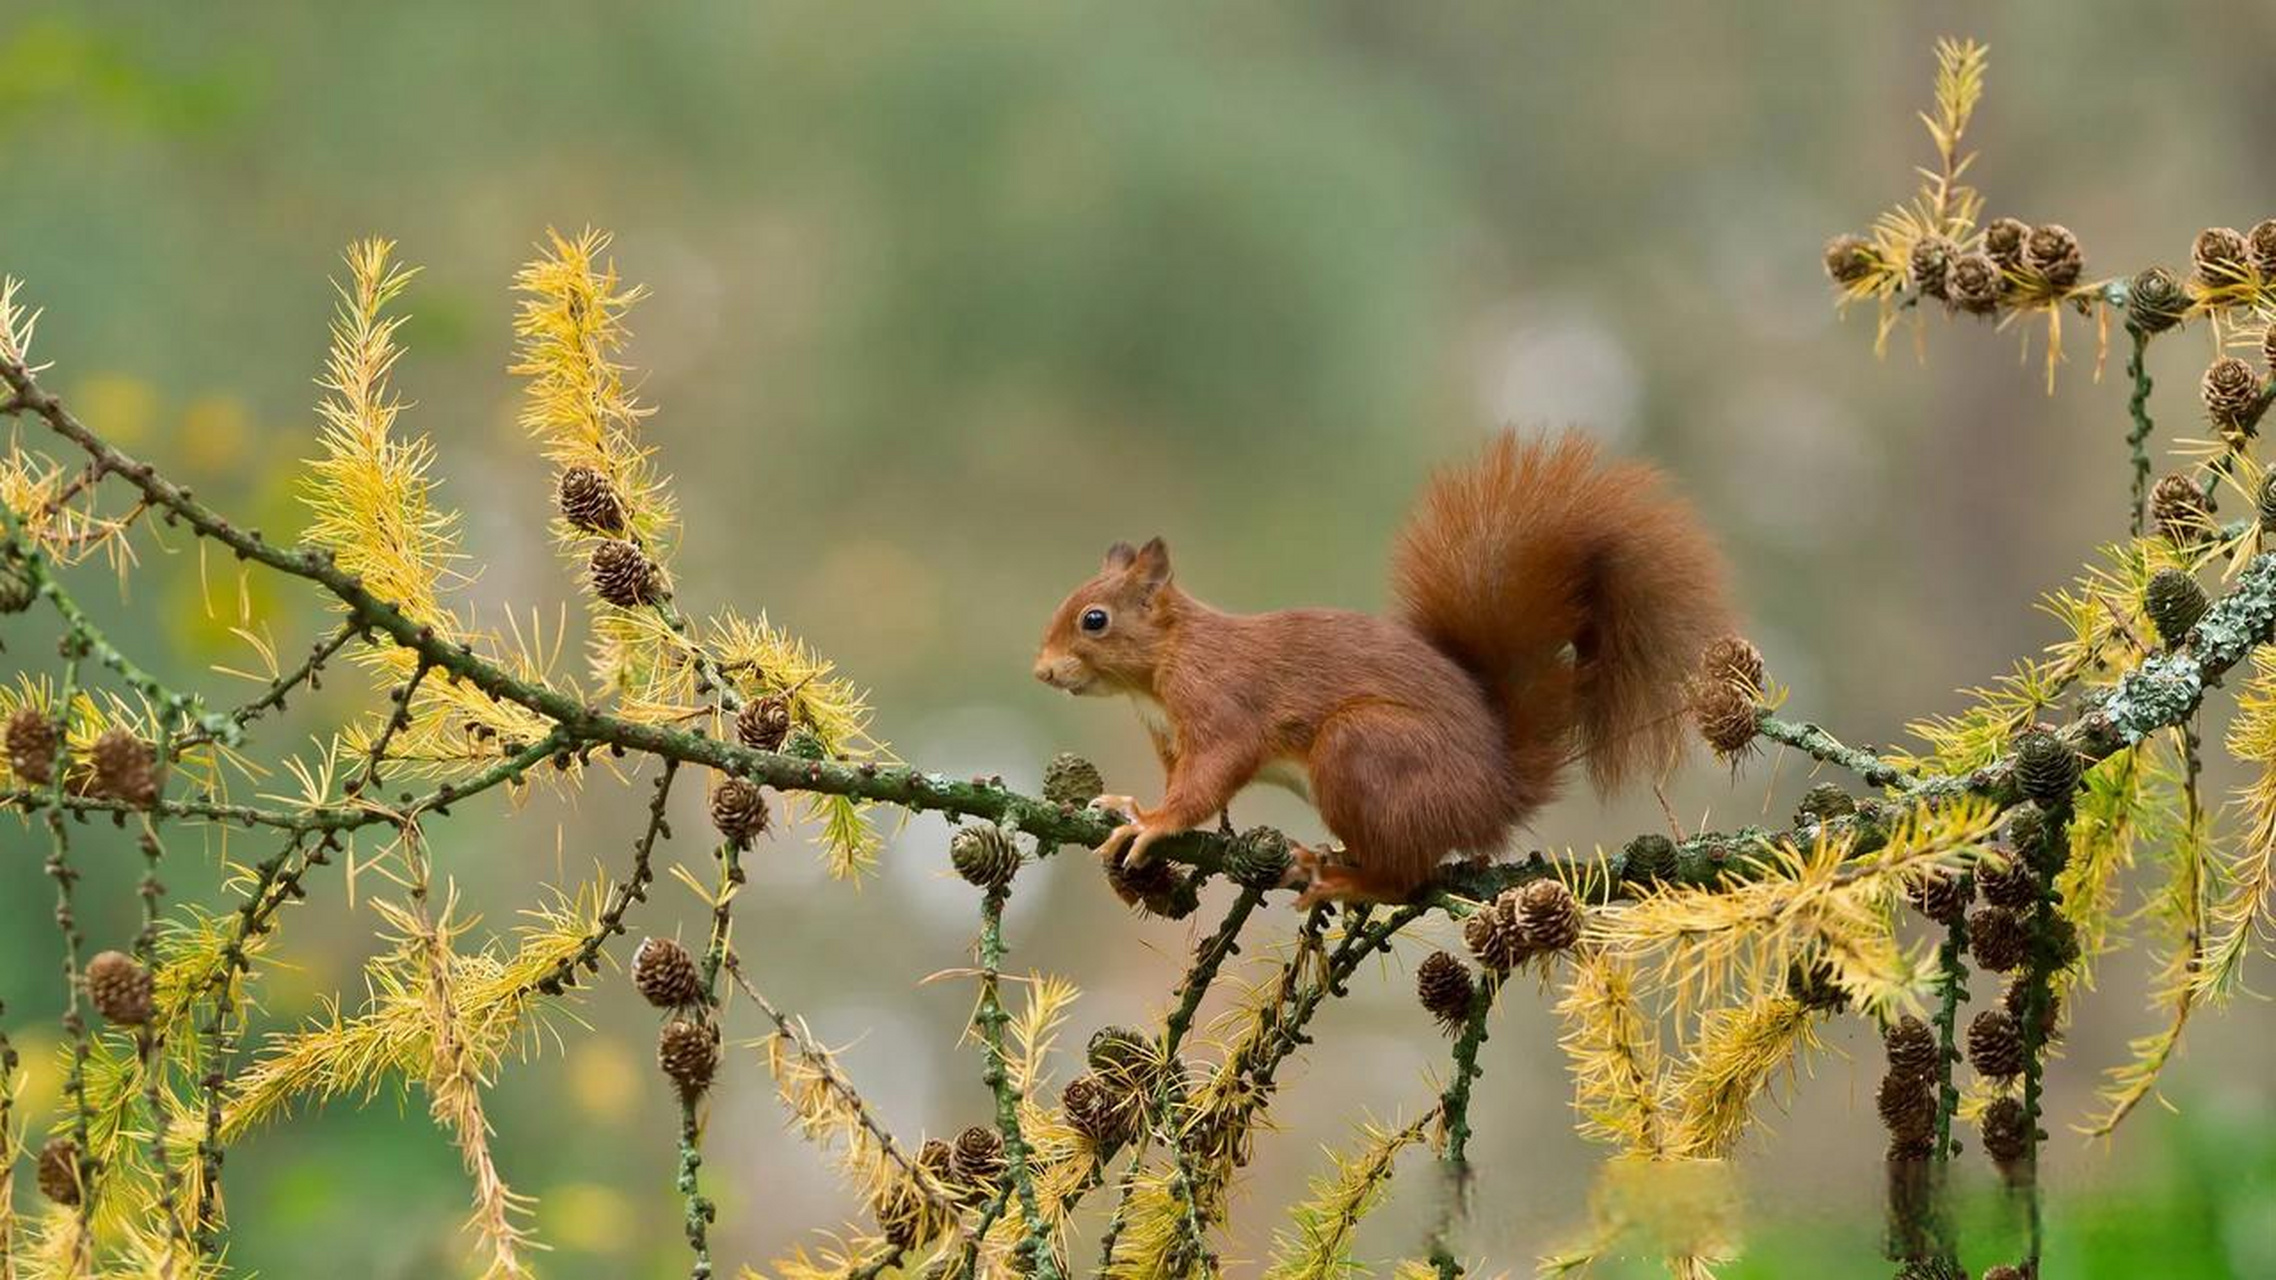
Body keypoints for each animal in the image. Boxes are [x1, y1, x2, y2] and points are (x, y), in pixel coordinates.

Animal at [1033, 430, 1720, 906]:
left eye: (1094, 620)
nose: (1042, 672)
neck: (1163, 668)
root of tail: (1497, 796)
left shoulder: (1222, 703)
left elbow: (1211, 778)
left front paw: (1152, 824)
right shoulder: (1168, 736)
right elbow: (1182, 777)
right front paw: (1130, 804)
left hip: (1364, 748)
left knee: (1406, 879)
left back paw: (1347, 880)